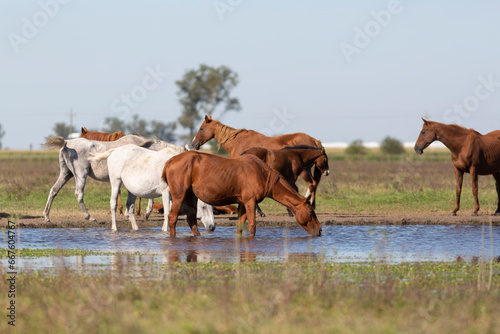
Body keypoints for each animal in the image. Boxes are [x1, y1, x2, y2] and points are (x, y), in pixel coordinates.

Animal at [42, 134, 178, 223]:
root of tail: (67, 143)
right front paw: (136, 214)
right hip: (81, 174)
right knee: (78, 194)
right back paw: (89, 216)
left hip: (66, 174)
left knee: (54, 190)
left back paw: (46, 216)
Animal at [162, 151, 322, 237]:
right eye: (311, 212)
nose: (320, 231)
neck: (262, 174)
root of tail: (170, 161)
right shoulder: (250, 202)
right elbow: (252, 226)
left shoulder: (243, 203)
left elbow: (240, 225)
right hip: (179, 197)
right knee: (172, 218)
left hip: (191, 197)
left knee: (191, 220)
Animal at [189, 113, 326, 210]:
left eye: (201, 128)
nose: (194, 143)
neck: (238, 141)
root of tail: (315, 141)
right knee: (313, 184)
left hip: (304, 171)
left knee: (312, 184)